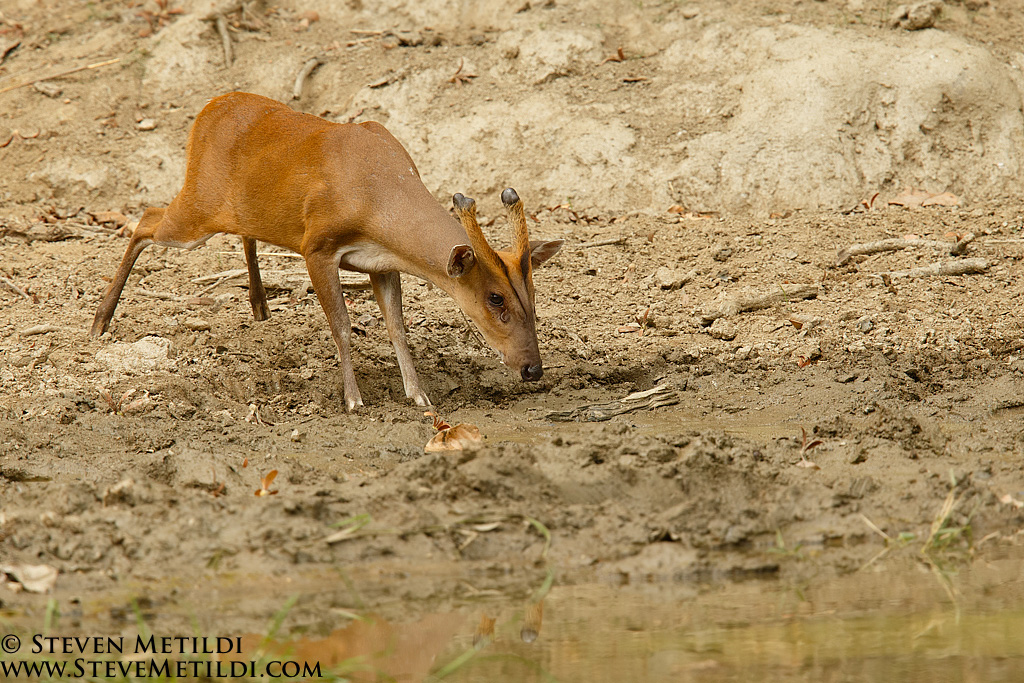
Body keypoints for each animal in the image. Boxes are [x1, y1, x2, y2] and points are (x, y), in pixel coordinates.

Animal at [90, 92, 563, 410]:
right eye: (495, 299)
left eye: (533, 296)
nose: (533, 369)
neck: (377, 195)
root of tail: (208, 108)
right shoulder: (315, 246)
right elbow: (341, 327)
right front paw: (353, 401)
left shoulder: (382, 264)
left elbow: (397, 328)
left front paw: (419, 396)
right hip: (198, 205)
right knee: (145, 219)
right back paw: (100, 320)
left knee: (241, 231)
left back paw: (260, 305)